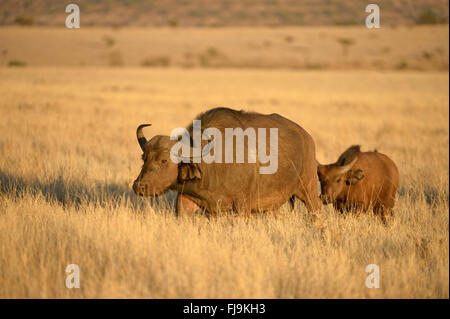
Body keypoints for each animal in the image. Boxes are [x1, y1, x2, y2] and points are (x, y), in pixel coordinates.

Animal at [132, 108, 322, 218]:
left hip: (309, 189)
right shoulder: (189, 201)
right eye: (144, 158)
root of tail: (306, 137)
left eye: (164, 160)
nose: (139, 186)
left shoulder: (242, 206)